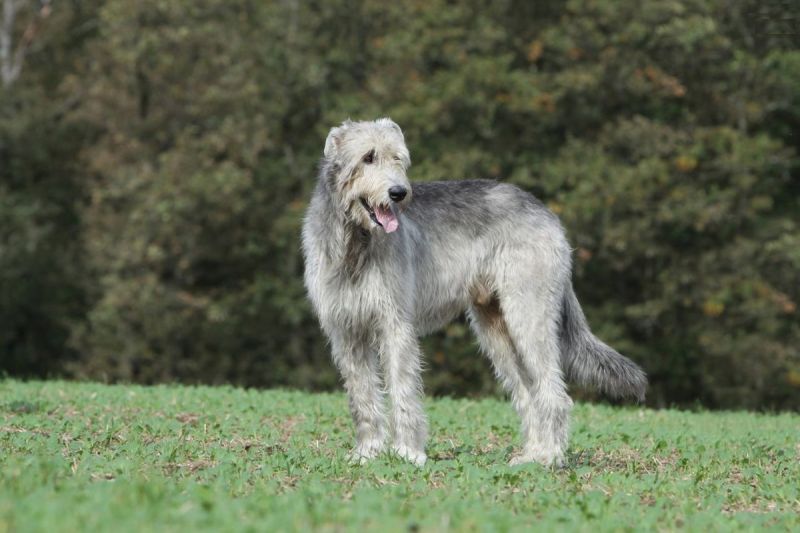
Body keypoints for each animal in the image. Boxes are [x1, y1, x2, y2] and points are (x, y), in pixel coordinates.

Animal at [304, 117, 648, 466]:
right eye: (368, 157)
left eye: (397, 158)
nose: (399, 193)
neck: (355, 243)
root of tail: (547, 213)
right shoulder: (347, 331)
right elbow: (361, 396)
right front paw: (367, 452)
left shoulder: (395, 324)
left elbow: (402, 389)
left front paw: (407, 453)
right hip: (496, 329)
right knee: (528, 394)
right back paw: (532, 455)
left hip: (529, 315)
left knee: (554, 394)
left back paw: (549, 458)